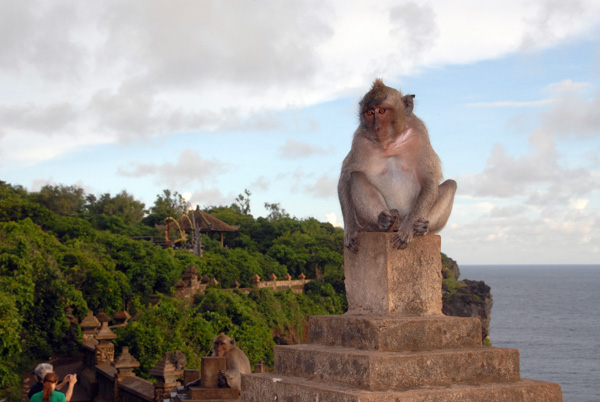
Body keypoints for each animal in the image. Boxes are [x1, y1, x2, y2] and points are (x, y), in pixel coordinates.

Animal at [338, 79, 454, 251]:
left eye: (381, 111)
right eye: (369, 112)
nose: (376, 127)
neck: (390, 143)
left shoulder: (420, 134)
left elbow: (429, 179)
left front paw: (408, 229)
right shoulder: (359, 139)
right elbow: (345, 178)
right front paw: (351, 228)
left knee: (451, 185)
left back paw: (421, 228)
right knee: (356, 176)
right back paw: (383, 223)